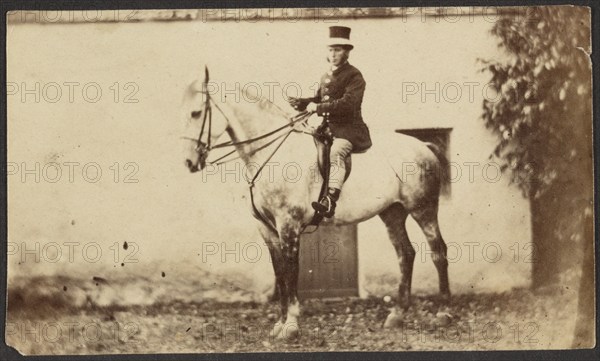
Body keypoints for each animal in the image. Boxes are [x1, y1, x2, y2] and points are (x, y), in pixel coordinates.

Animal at [180, 68, 448, 340]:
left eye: (196, 112)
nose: (189, 162)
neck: (273, 156)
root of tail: (424, 146)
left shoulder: (288, 225)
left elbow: (291, 272)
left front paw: (291, 325)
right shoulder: (267, 229)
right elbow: (280, 273)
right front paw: (279, 324)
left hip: (423, 210)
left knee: (438, 252)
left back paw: (443, 313)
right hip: (392, 213)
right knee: (406, 254)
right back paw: (397, 315)